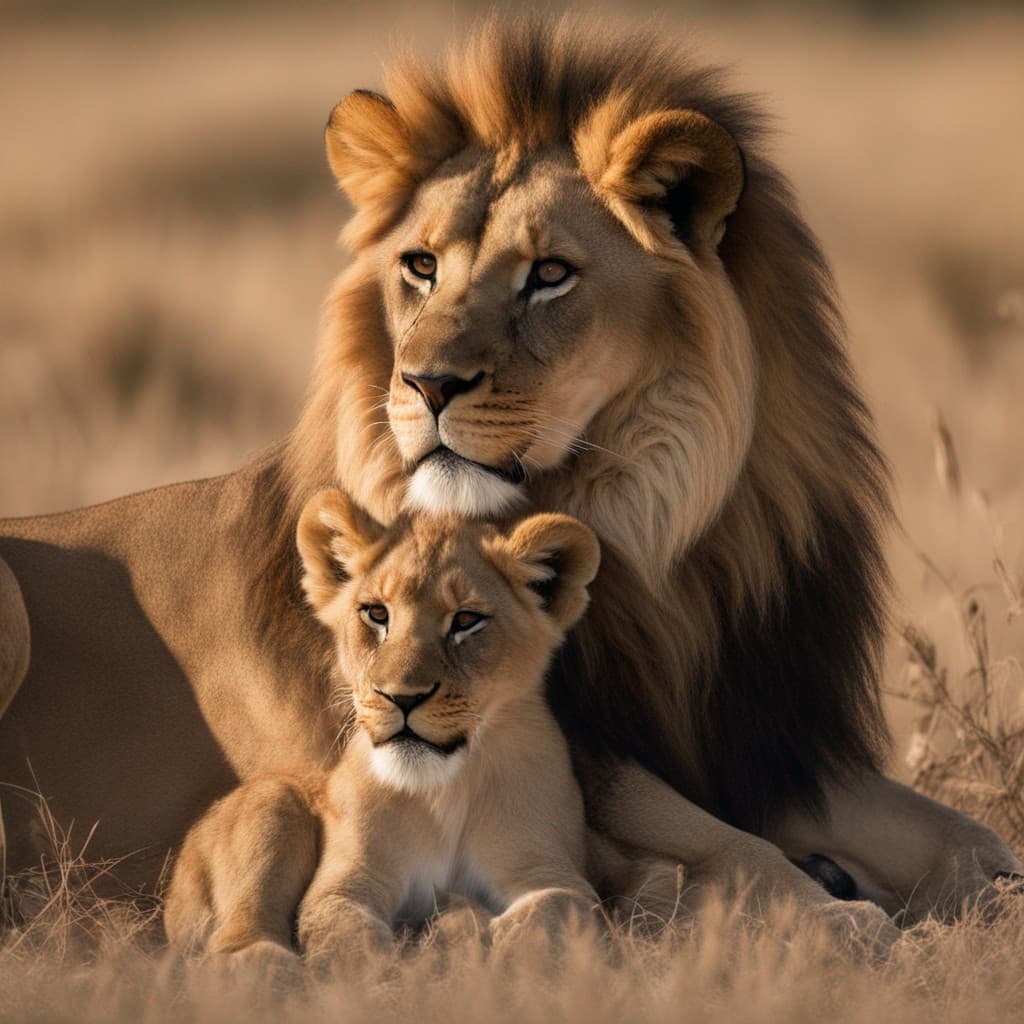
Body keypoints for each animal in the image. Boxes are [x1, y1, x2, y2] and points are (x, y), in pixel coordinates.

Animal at [164, 490, 602, 962]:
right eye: (376, 614)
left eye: (466, 621)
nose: (402, 697)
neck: (444, 786)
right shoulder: (347, 880)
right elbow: (345, 931)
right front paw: (384, 969)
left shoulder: (549, 869)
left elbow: (555, 908)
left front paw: (507, 954)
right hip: (273, 800)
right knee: (232, 940)